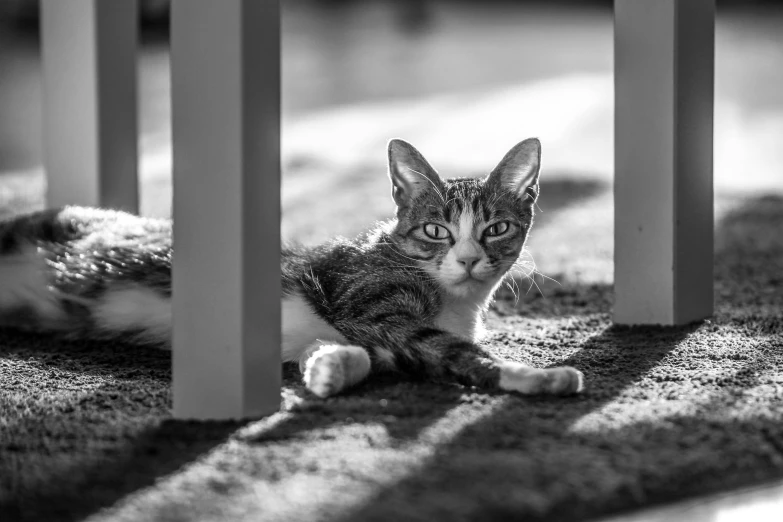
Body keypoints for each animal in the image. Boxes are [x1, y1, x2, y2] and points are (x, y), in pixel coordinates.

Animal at [0, 136, 580, 396]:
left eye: (496, 228)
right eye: (436, 231)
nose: (468, 259)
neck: (456, 303)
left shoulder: (367, 334)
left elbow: (352, 351)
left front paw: (327, 370)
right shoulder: (366, 303)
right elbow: (449, 348)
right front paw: (535, 376)